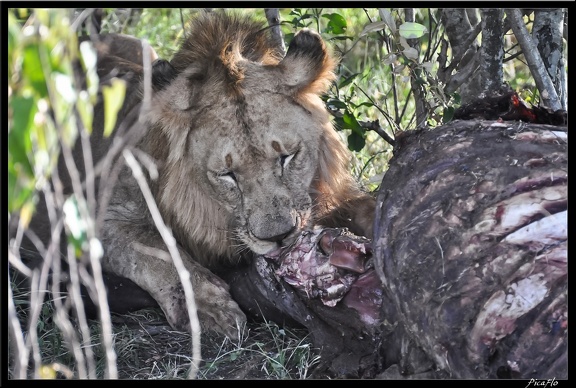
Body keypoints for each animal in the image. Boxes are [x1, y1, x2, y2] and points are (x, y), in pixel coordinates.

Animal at [18, 9, 376, 340]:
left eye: (287, 157)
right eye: (227, 175)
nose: (278, 237)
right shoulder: (91, 217)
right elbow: (158, 250)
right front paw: (208, 308)